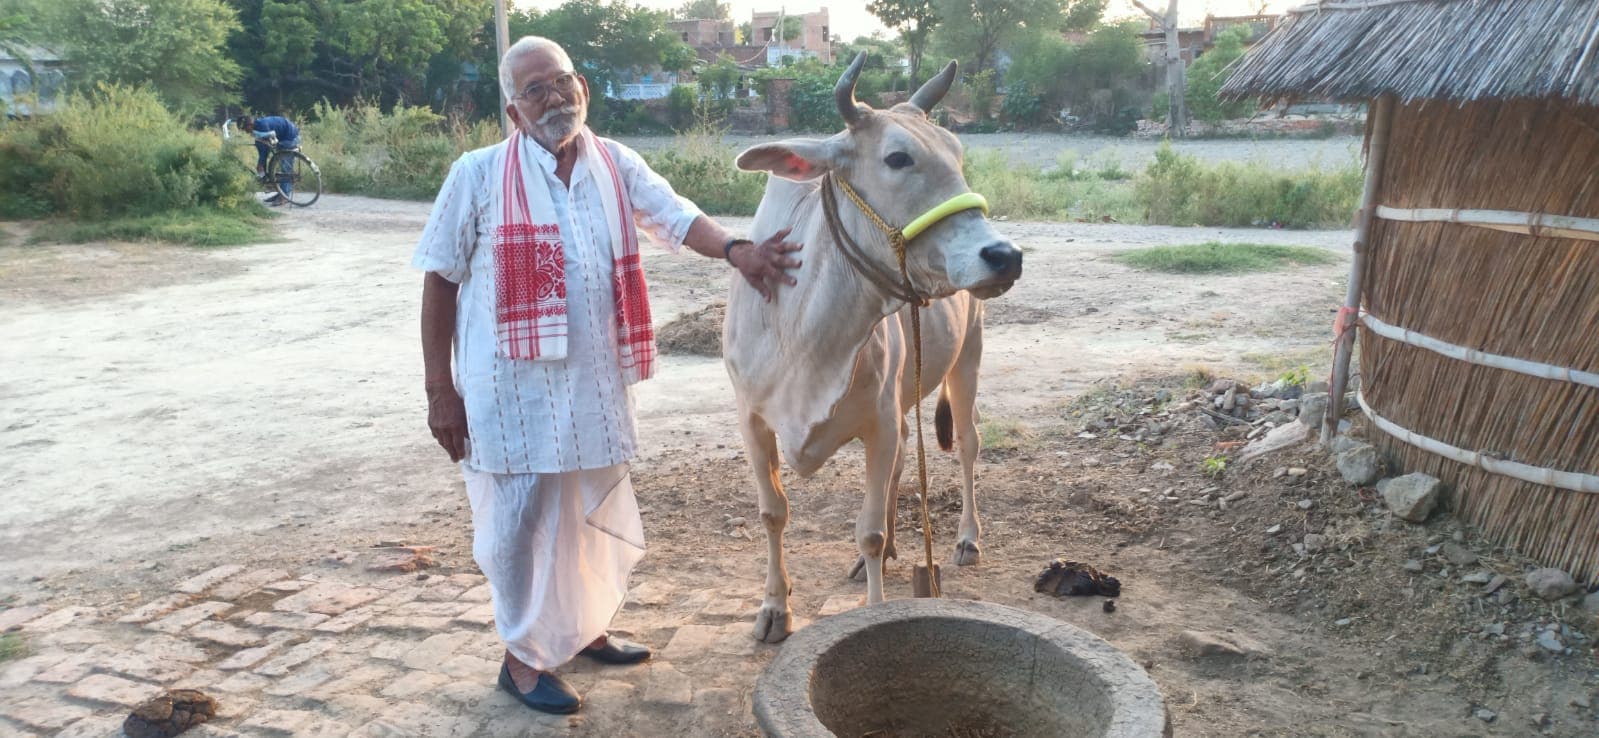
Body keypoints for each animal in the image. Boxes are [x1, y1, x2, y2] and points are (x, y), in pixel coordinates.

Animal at [722, 54, 1024, 643]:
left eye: (958, 155)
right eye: (897, 158)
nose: (1004, 255)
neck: (804, 336)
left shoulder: (879, 422)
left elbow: (868, 531)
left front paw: (874, 604)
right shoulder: (752, 419)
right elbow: (773, 513)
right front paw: (773, 608)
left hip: (967, 360)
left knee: (968, 445)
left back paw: (967, 538)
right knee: (907, 458)